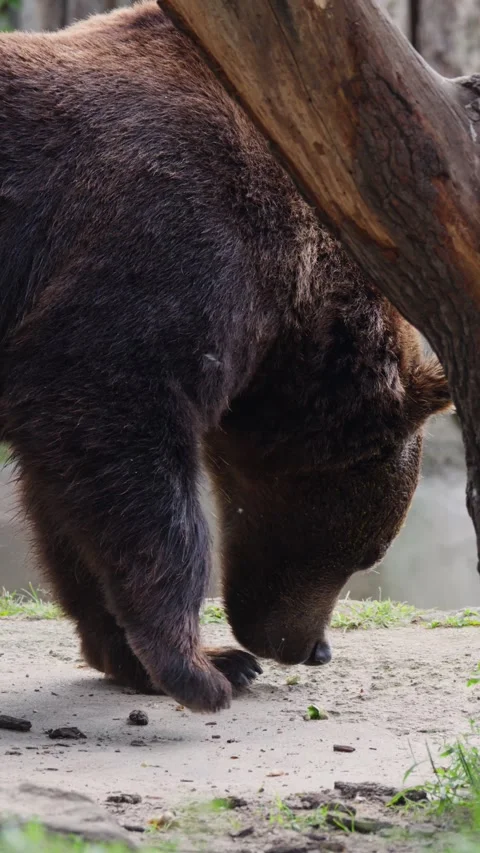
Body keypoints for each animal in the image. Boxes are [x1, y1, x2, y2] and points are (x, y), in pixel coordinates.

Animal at [0, 0, 451, 713]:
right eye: (370, 553)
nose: (312, 648)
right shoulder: (172, 232)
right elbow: (113, 414)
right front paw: (203, 668)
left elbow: (65, 501)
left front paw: (138, 654)